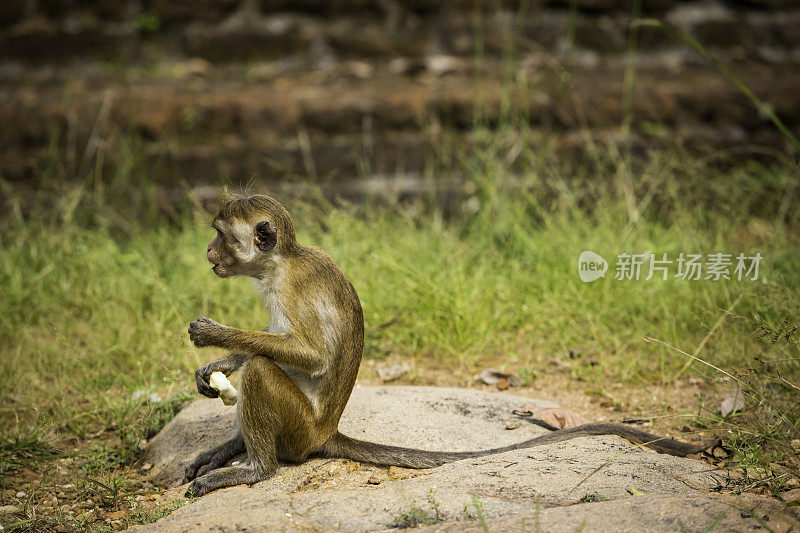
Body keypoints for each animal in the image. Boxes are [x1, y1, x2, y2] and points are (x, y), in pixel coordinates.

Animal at [183, 192, 724, 498]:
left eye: (221, 236)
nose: (207, 251)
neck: (279, 265)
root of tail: (324, 433)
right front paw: (215, 366)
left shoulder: (295, 288)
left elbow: (310, 356)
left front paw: (215, 336)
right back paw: (232, 448)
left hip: (298, 429)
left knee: (263, 371)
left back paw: (256, 468)